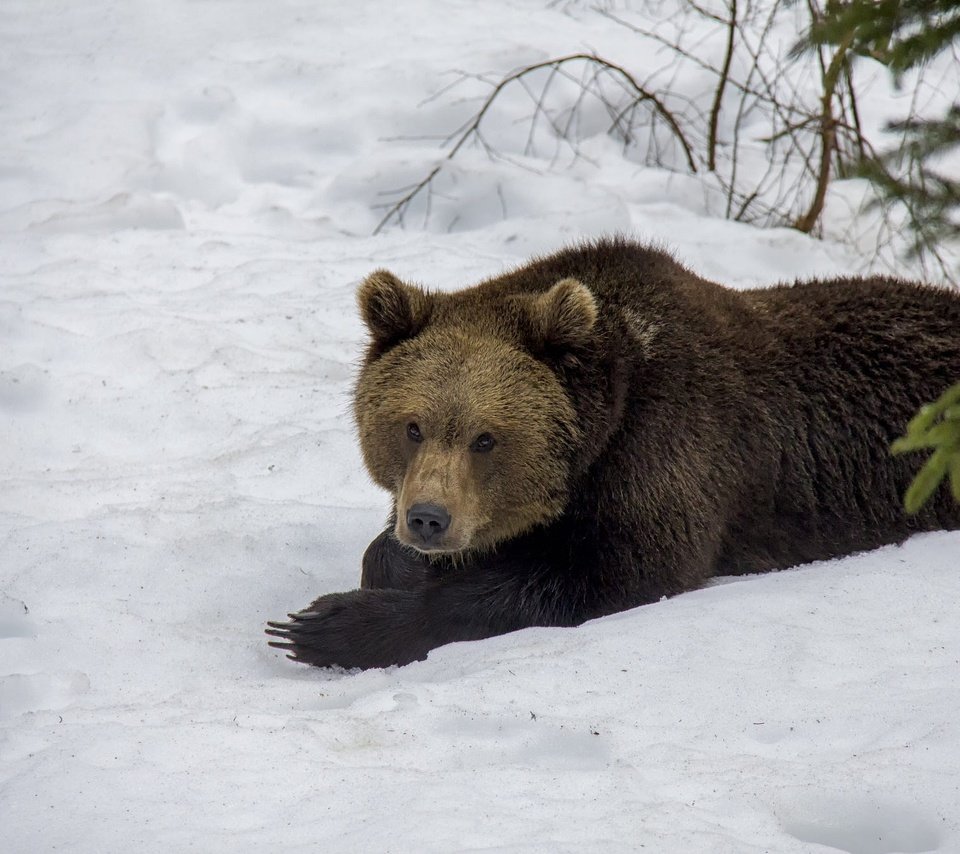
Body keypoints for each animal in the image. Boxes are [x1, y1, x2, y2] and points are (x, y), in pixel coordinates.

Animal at [266, 237, 960, 672]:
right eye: (412, 426)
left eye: (486, 437)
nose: (429, 520)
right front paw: (392, 564)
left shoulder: (668, 450)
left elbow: (611, 569)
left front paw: (323, 626)